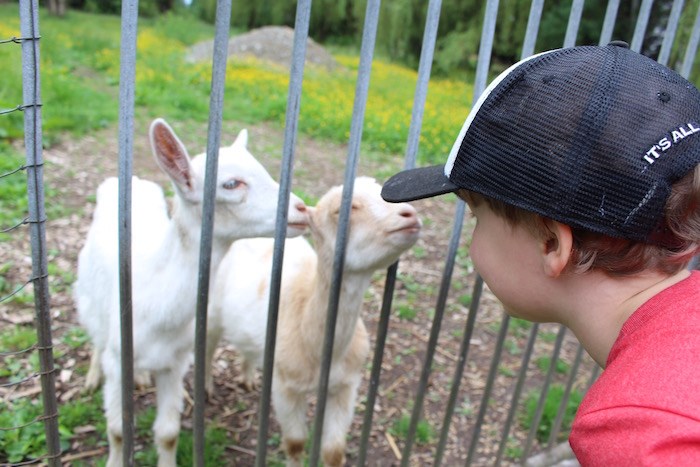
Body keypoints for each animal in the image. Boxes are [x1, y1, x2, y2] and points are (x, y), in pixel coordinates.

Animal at [73, 119, 308, 467]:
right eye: (231, 184)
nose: (303, 209)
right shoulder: (118, 358)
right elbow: (116, 430)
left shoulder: (176, 362)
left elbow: (168, 433)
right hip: (90, 301)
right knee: (96, 338)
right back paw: (92, 376)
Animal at [204, 177, 422, 466]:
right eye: (342, 210)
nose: (409, 214)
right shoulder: (285, 387)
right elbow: (295, 443)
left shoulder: (346, 386)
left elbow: (334, 450)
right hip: (211, 312)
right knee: (208, 347)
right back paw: (206, 387)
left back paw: (249, 378)